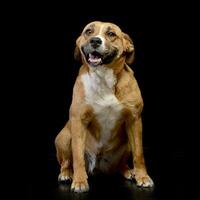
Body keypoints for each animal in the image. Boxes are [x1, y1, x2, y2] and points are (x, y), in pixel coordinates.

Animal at [54, 21, 153, 192]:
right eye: (88, 31)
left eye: (111, 34)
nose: (95, 40)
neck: (103, 76)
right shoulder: (78, 121)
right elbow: (77, 156)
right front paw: (79, 181)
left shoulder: (134, 121)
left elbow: (139, 154)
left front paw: (142, 177)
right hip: (64, 137)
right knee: (67, 162)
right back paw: (67, 174)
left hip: (127, 141)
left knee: (121, 164)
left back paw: (128, 171)